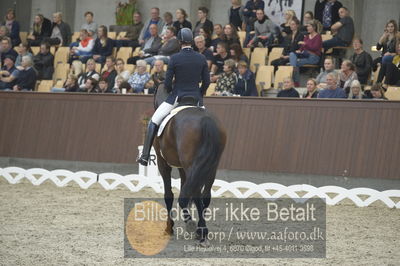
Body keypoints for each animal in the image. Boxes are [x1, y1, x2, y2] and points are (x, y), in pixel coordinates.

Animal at [152, 84, 227, 242]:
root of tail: (206, 120)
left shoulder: (163, 163)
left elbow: (169, 194)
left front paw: (169, 227)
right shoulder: (182, 168)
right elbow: (184, 189)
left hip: (193, 166)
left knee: (195, 193)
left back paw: (199, 229)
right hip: (210, 166)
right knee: (204, 195)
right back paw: (201, 229)